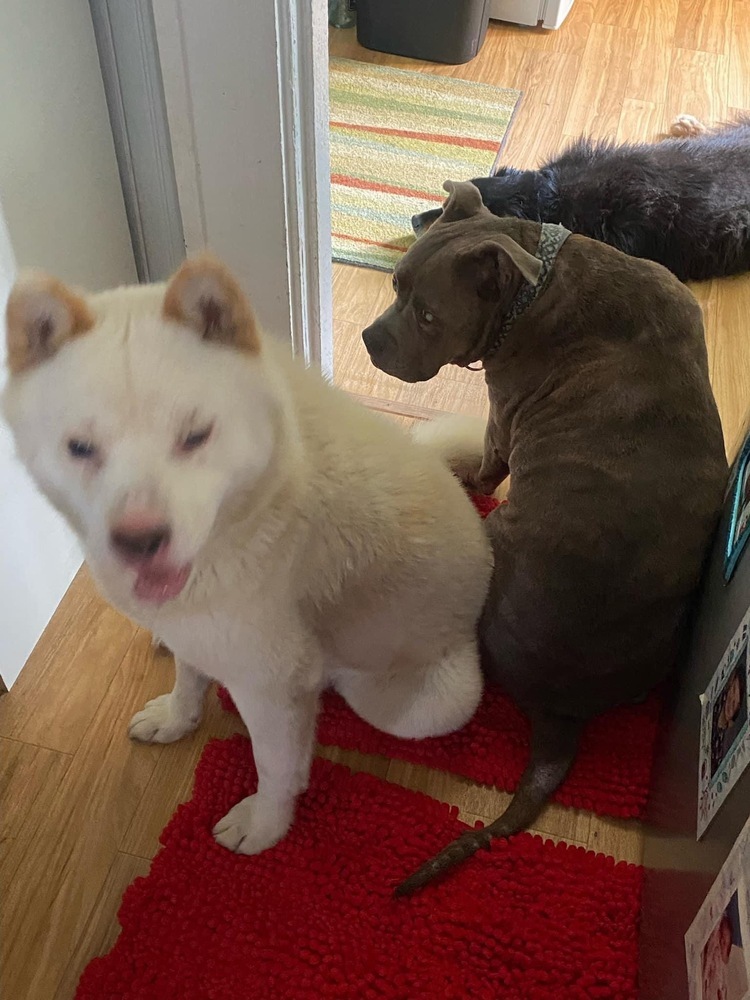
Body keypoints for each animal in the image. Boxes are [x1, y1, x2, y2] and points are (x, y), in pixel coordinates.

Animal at [4, 254, 494, 856]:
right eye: (79, 448)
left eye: (195, 436)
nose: (139, 541)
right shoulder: (197, 624)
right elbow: (189, 678)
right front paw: (178, 718)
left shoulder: (266, 686)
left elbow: (276, 767)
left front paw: (264, 825)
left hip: (420, 701)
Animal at [364, 182, 728, 900]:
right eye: (393, 286)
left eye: (428, 316)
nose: (367, 338)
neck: (535, 281)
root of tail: (561, 715)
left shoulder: (502, 423)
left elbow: (485, 466)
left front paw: (463, 473)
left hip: (492, 541)